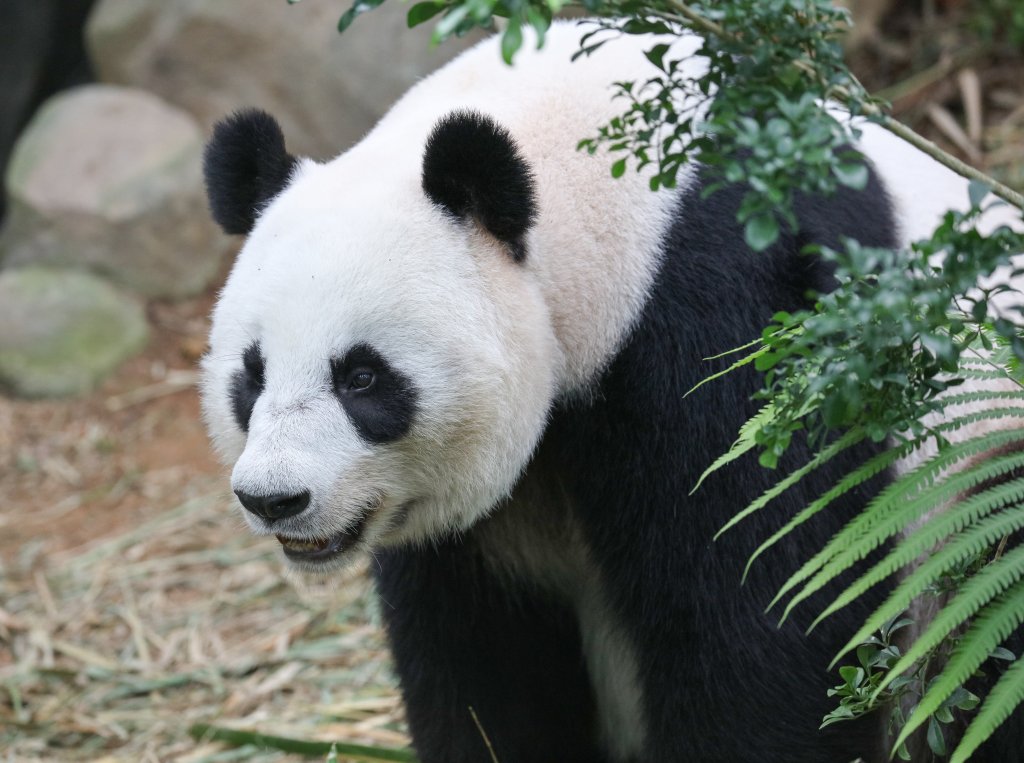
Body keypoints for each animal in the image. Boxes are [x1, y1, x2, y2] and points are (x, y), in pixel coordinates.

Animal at [199, 21, 1023, 763]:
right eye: (252, 374)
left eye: (363, 377)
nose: (274, 498)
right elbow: (481, 658)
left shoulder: (727, 311)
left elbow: (757, 606)